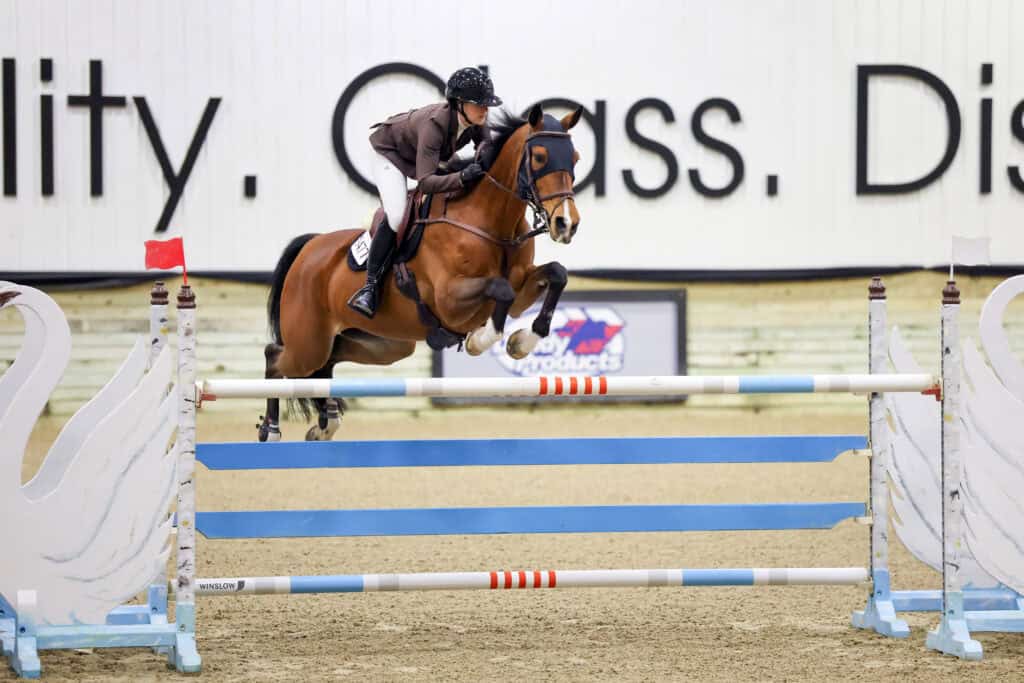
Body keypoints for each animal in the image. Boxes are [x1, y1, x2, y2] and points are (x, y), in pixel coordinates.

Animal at [258, 104, 583, 442]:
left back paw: (326, 423)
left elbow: (557, 274)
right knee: (276, 358)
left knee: (324, 365)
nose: (566, 224)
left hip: (384, 344)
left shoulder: (520, 292)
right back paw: (272, 429)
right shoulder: (451, 302)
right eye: (540, 157)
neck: (489, 220)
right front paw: (479, 341)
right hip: (309, 342)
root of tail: (309, 248)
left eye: (575, 158)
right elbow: (499, 290)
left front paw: (521, 343)